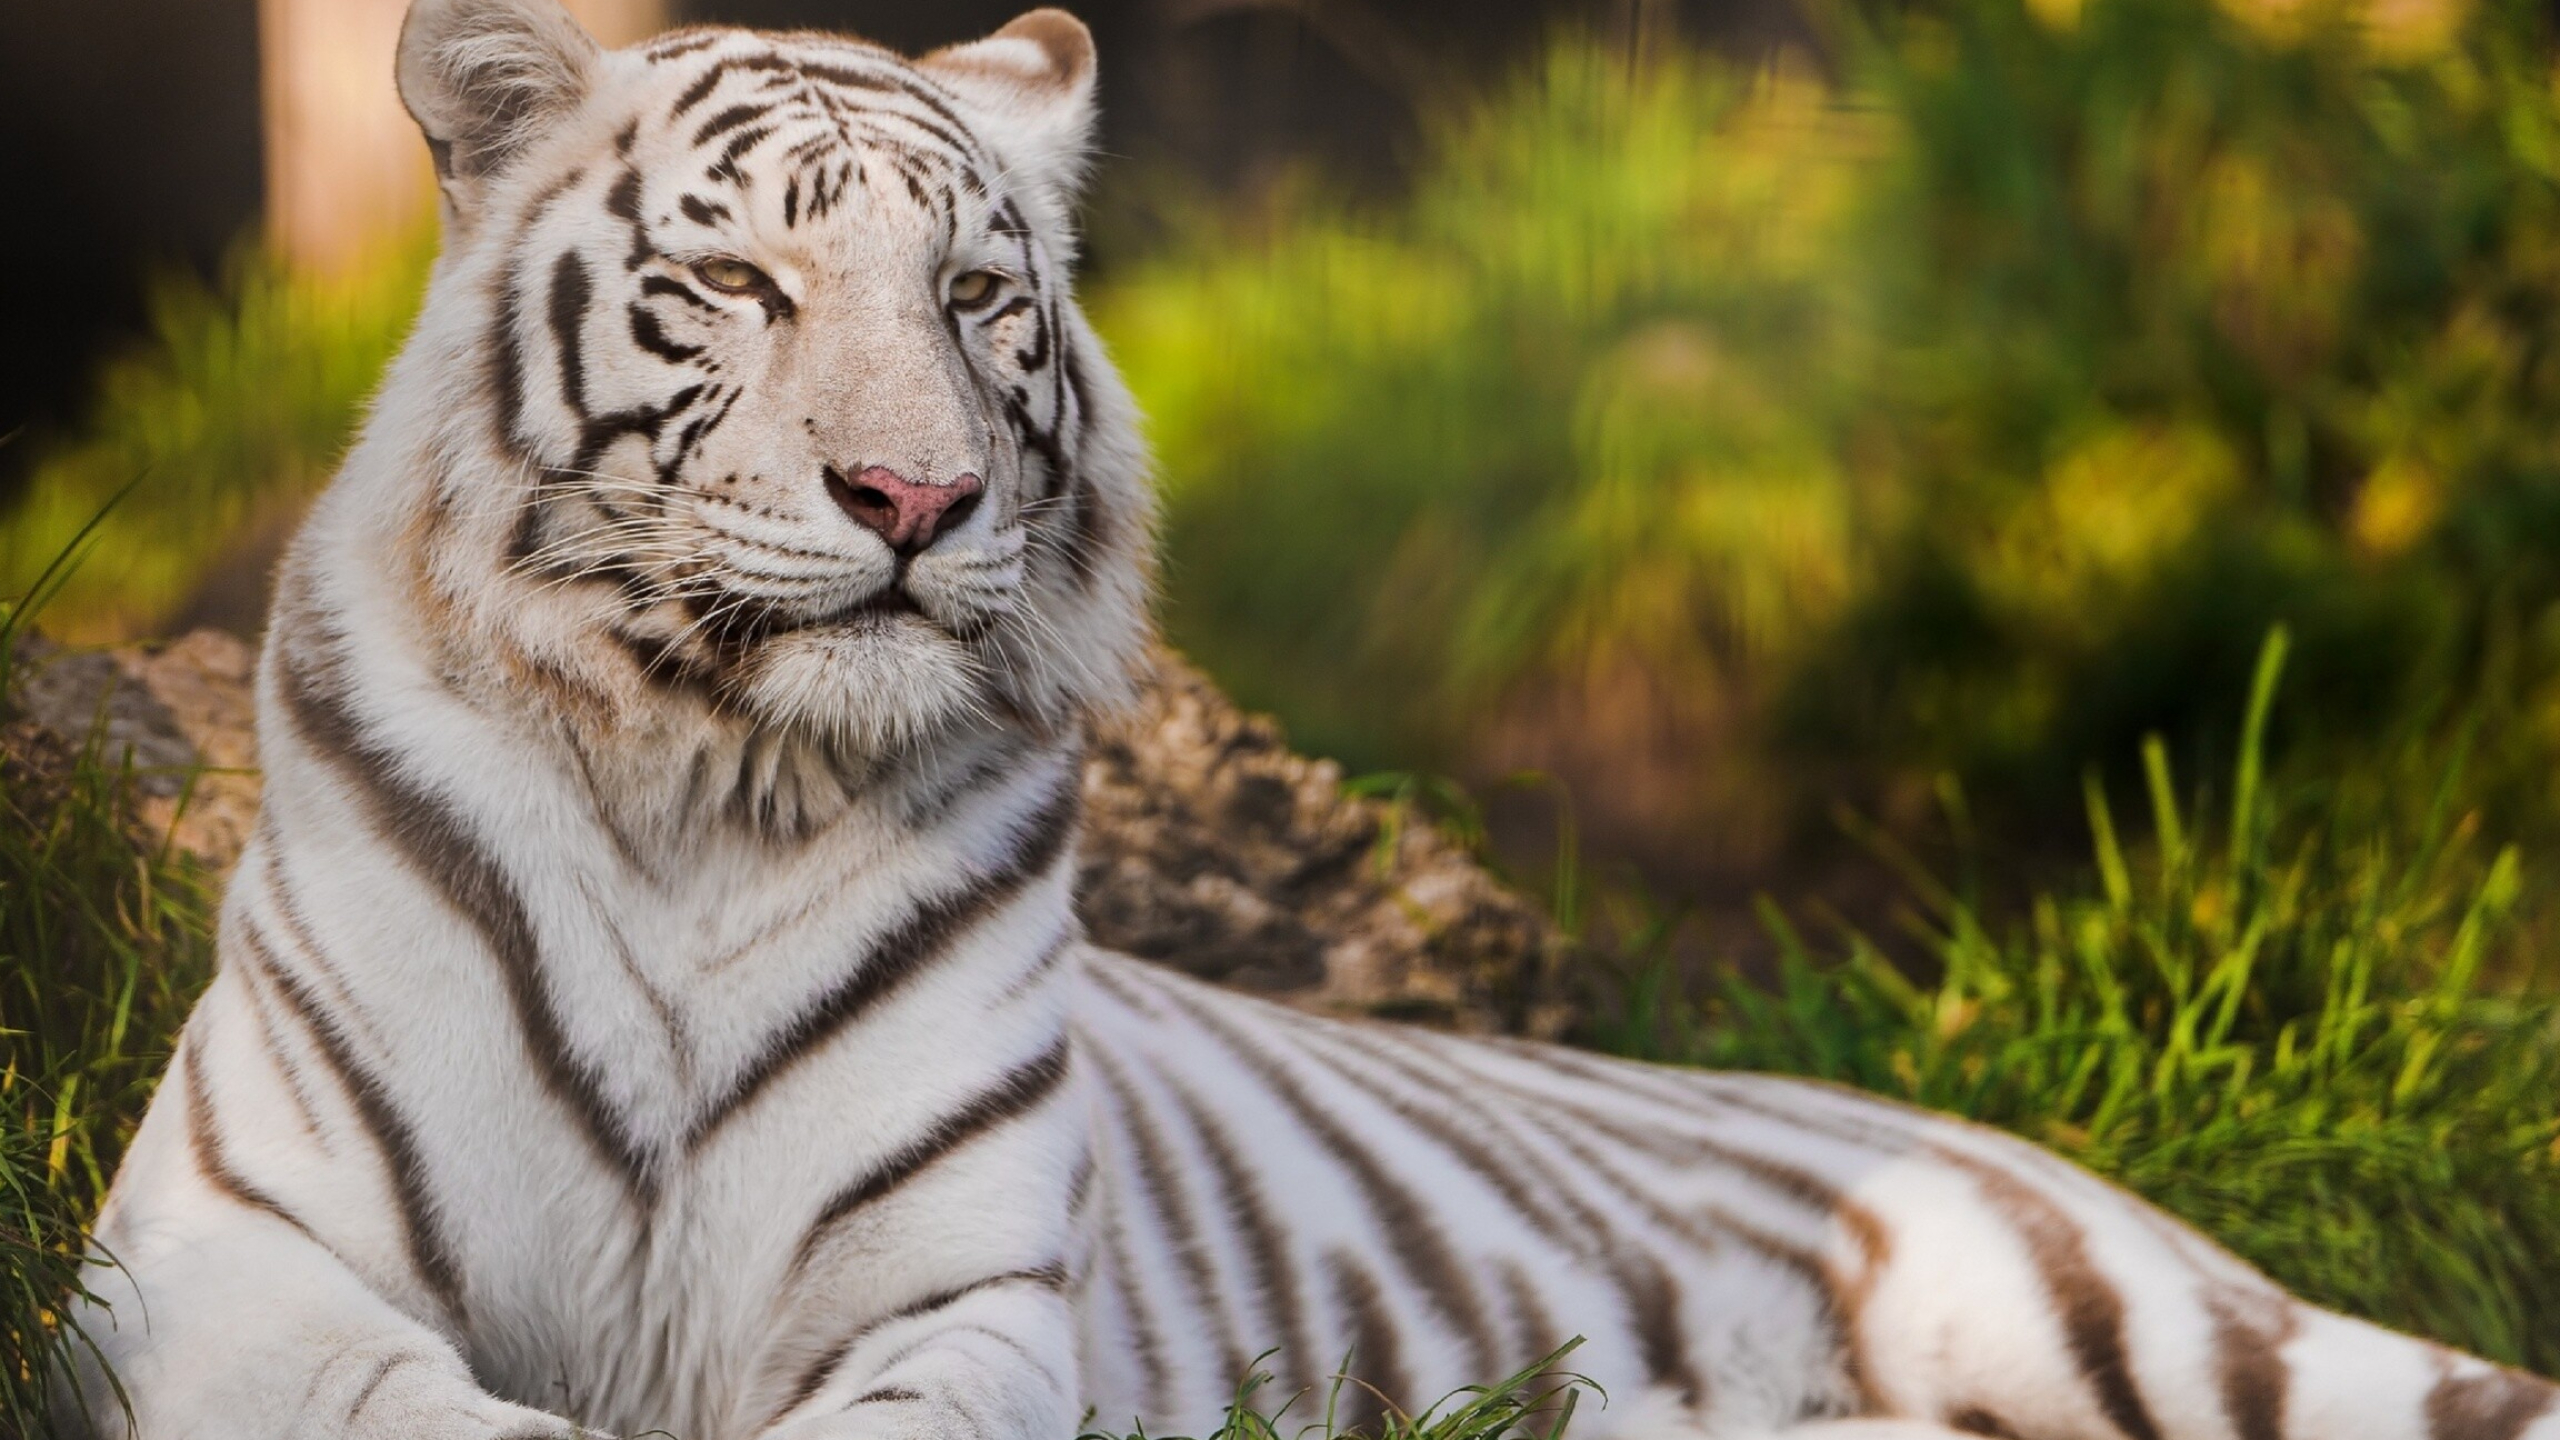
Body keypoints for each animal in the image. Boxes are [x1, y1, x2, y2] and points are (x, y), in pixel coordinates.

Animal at [59, 2, 2560, 1439]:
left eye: (975, 300)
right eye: (740, 284)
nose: (915, 497)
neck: (707, 785)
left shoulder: (968, 1294)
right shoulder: (208, 1255)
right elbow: (408, 1405)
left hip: (2146, 1328)